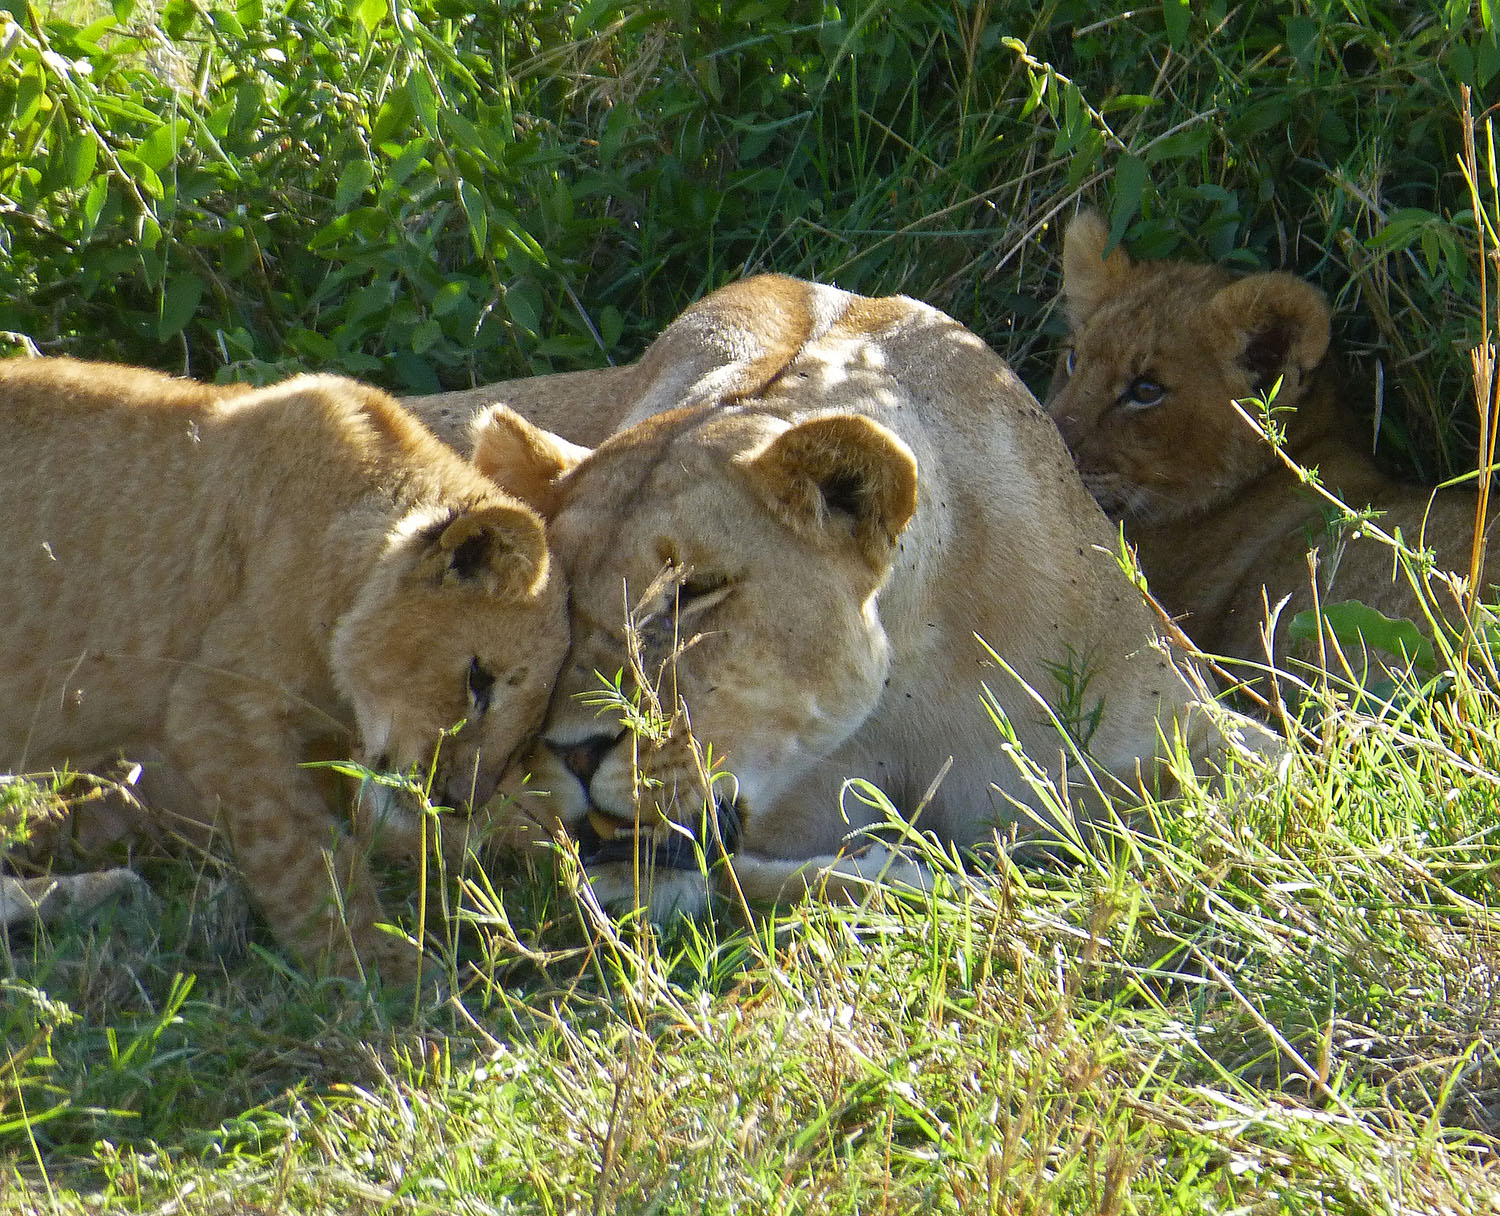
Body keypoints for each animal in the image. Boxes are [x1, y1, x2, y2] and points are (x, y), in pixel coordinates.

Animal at [0, 358, 569, 982]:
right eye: (478, 681)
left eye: (530, 730)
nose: (457, 803)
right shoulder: (214, 704)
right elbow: (305, 854)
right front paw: (377, 968)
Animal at [403, 274, 1264, 917]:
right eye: (556, 602)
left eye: (696, 592)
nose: (574, 752)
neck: (912, 669)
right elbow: (757, 879)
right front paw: (926, 881)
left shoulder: (1202, 727)